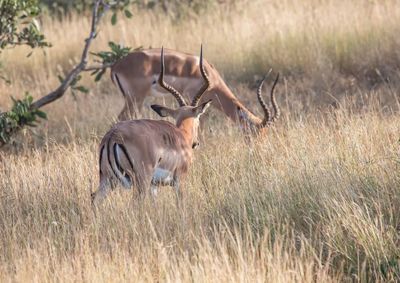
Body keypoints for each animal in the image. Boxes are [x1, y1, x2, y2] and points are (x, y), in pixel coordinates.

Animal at [91, 47, 212, 206]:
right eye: (198, 118)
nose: (196, 143)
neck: (181, 135)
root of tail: (113, 136)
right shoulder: (180, 179)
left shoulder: (154, 186)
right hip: (141, 181)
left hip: (107, 179)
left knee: (94, 198)